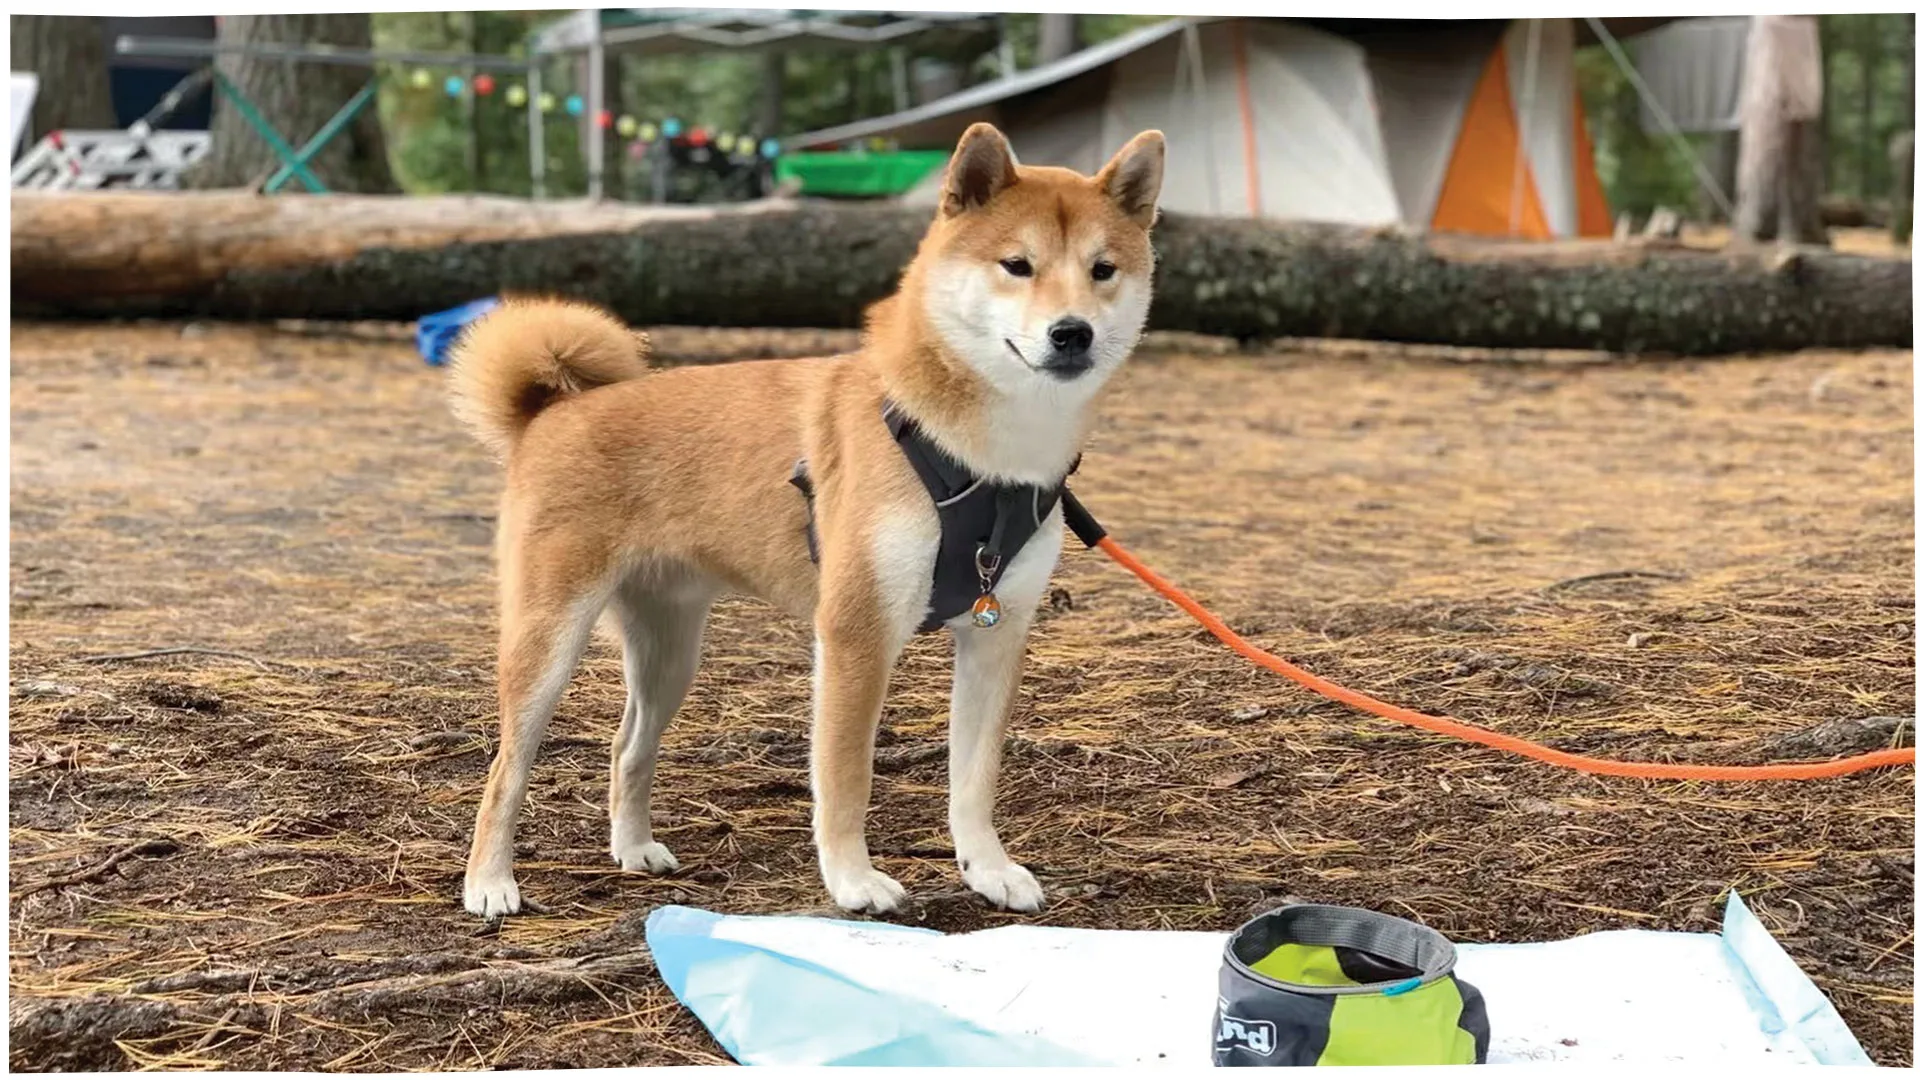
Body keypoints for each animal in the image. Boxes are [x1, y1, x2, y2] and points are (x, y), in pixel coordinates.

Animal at [451, 122, 1167, 910]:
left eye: (1103, 270)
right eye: (1017, 265)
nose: (1073, 333)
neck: (979, 457)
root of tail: (551, 412)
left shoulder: (996, 633)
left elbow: (973, 782)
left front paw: (988, 869)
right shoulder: (856, 634)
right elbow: (846, 777)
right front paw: (853, 880)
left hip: (671, 652)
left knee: (627, 745)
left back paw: (634, 848)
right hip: (548, 643)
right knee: (505, 771)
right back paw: (490, 882)